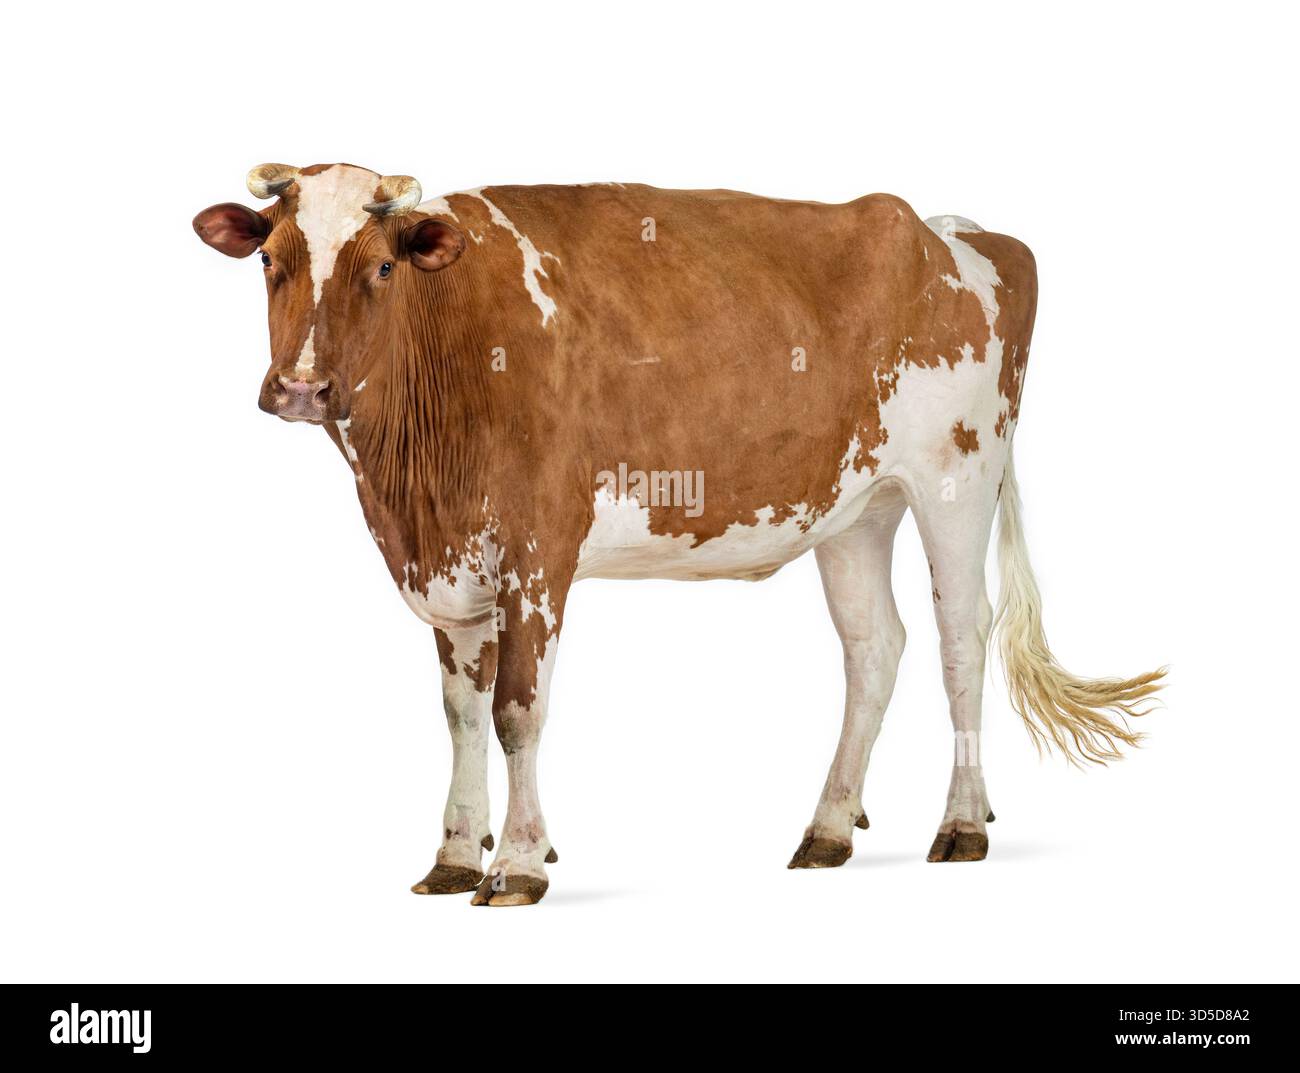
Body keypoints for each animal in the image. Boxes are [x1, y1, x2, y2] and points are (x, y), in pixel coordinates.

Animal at [194, 163, 1164, 906]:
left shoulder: (540, 547)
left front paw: (518, 863)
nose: (302, 387)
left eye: (384, 270)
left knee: (961, 640)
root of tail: (948, 229)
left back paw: (961, 821)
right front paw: (456, 854)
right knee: (874, 648)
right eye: (271, 259)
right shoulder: (450, 570)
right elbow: (461, 714)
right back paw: (828, 826)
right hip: (858, 508)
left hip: (957, 478)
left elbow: (516, 711)